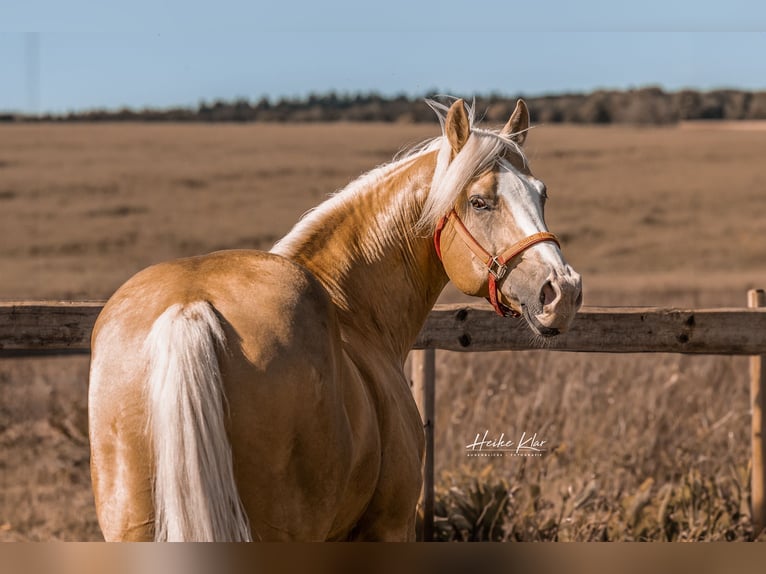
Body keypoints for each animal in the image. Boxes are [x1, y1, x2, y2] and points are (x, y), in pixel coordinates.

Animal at [88, 97, 584, 544]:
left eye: (541, 194)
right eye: (480, 202)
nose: (563, 292)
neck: (353, 310)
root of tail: (190, 306)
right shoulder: (390, 526)